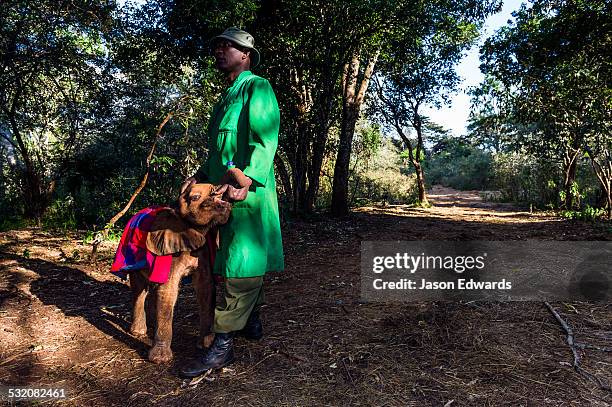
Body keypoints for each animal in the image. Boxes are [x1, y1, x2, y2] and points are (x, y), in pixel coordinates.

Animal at [125, 182, 231, 364]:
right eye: (195, 197)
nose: (223, 193)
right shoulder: (169, 251)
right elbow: (169, 290)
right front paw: (160, 360)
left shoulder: (202, 252)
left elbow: (205, 287)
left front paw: (207, 344)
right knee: (139, 289)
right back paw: (138, 332)